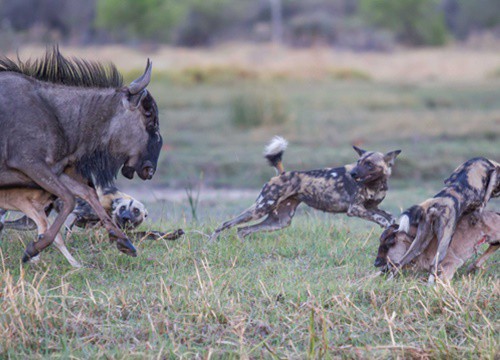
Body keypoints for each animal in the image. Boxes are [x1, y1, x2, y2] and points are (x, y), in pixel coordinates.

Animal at [209, 136, 400, 240]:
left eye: (369, 164)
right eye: (359, 162)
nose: (353, 173)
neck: (376, 184)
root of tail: (282, 173)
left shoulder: (372, 207)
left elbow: (390, 216)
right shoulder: (355, 209)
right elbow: (381, 219)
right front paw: (385, 226)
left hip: (279, 221)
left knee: (243, 230)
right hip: (260, 209)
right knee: (227, 224)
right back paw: (211, 242)